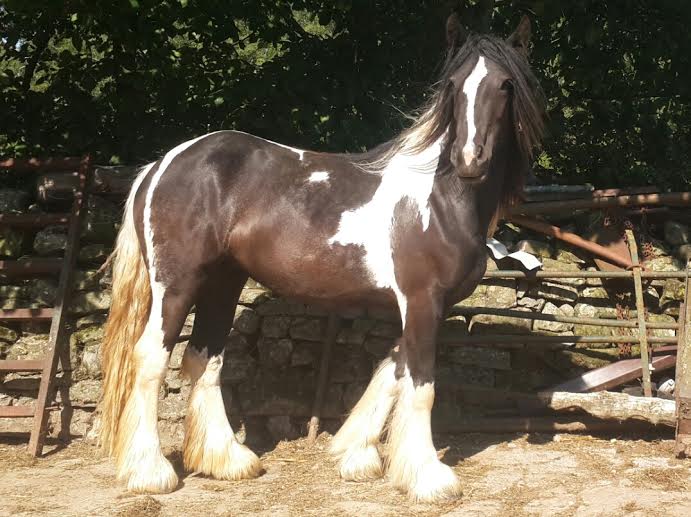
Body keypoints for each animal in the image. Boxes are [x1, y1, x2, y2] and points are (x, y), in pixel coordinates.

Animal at [99, 13, 545, 502]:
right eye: (452, 85)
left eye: (505, 85)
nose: (469, 160)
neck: (442, 197)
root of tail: (161, 165)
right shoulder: (422, 300)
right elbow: (420, 384)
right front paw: (428, 478)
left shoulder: (424, 306)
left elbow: (391, 371)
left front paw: (356, 455)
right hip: (177, 285)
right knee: (150, 358)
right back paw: (151, 471)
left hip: (222, 282)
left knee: (204, 358)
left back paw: (228, 461)